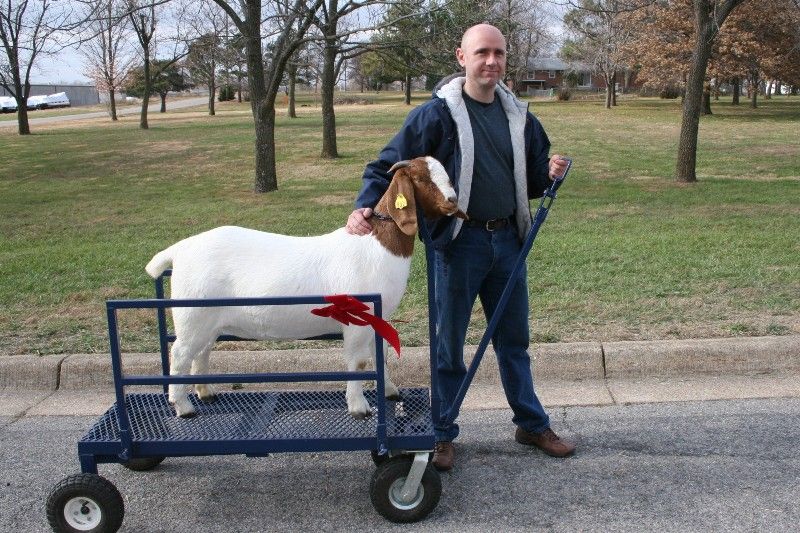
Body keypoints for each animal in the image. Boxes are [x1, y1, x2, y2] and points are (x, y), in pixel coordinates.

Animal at [147, 156, 466, 418]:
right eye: (422, 179)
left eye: (446, 173)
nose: (452, 200)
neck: (376, 246)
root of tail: (180, 250)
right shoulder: (357, 321)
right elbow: (359, 362)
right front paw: (359, 407)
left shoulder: (379, 319)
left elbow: (381, 357)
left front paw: (389, 391)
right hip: (192, 315)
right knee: (180, 355)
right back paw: (184, 406)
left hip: (209, 321)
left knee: (201, 352)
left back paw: (206, 392)